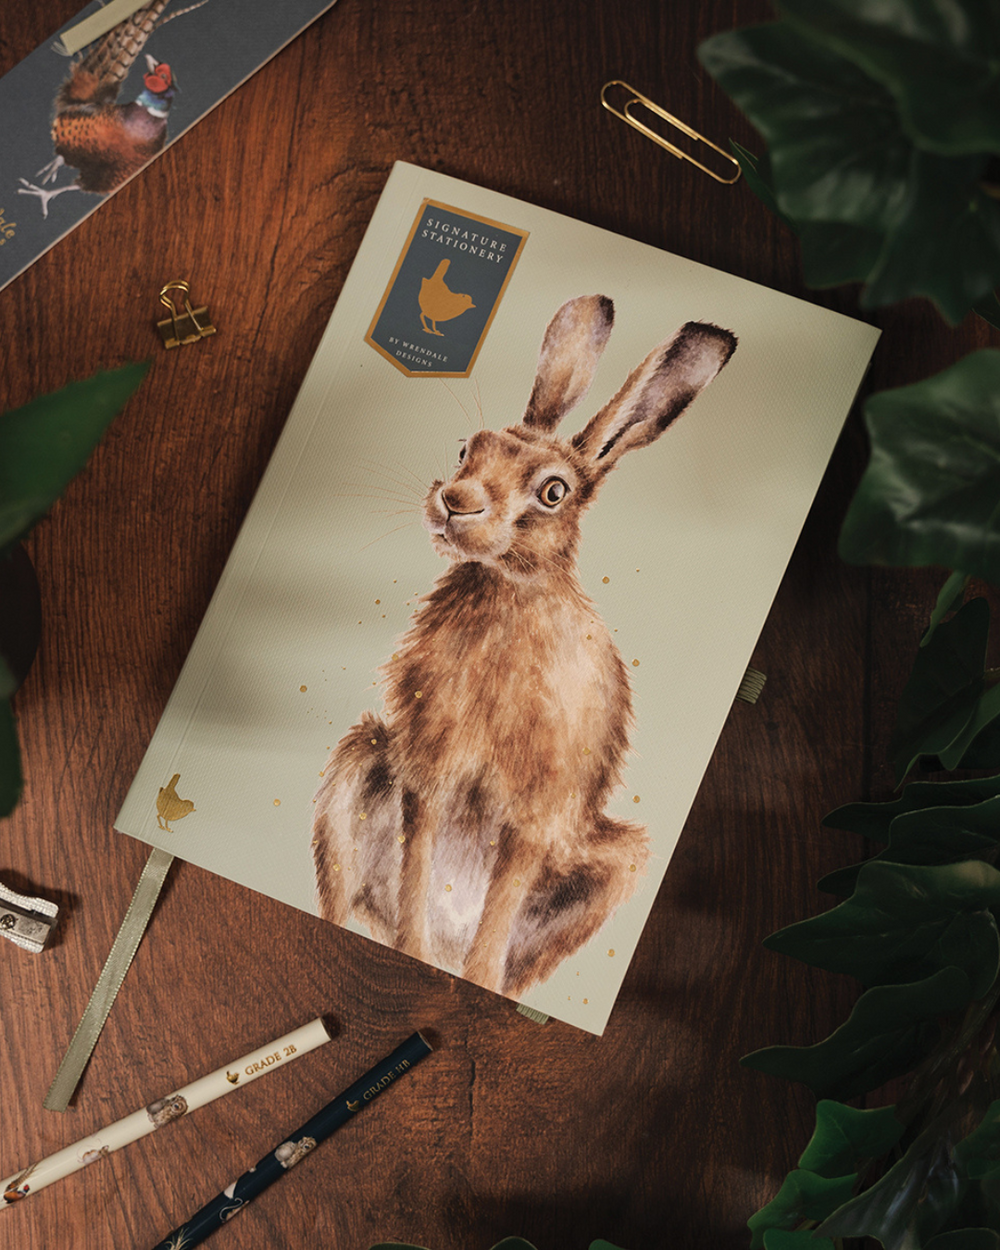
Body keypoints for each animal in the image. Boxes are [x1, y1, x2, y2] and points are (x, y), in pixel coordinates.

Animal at [311, 294, 737, 998]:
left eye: (554, 491)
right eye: (467, 448)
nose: (455, 502)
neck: (507, 593)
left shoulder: (537, 811)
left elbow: (500, 912)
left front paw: (468, 974)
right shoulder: (427, 772)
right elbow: (416, 866)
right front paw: (412, 950)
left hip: (612, 865)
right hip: (358, 763)